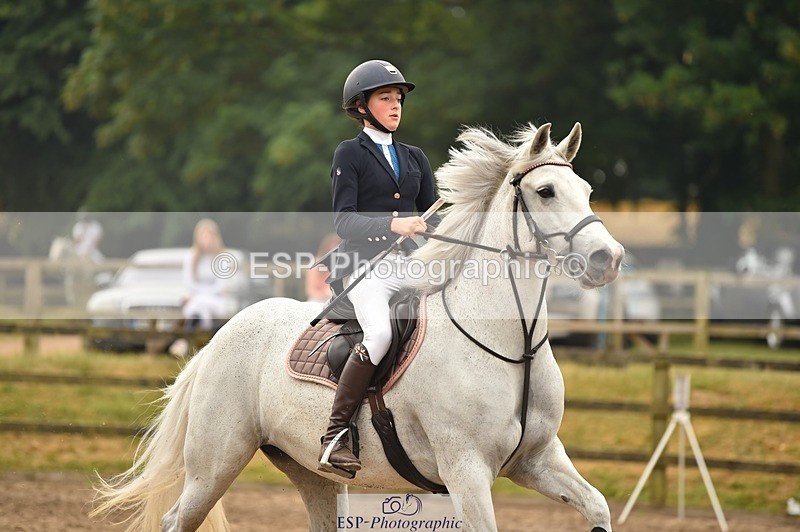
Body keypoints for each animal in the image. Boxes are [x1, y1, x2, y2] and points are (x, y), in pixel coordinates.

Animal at [91, 122, 624, 531]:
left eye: (588, 191)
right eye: (545, 191)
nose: (609, 258)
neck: (513, 347)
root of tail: (217, 340)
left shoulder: (538, 459)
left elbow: (597, 505)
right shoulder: (466, 470)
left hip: (310, 472)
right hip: (214, 464)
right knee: (177, 519)